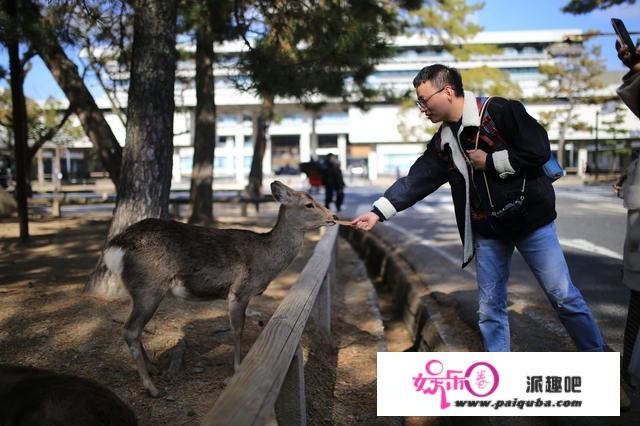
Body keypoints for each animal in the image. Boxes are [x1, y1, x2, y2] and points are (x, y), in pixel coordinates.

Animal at [102, 181, 338, 398]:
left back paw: (153, 368)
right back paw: (152, 388)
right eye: (309, 204)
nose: (334, 216)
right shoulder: (239, 290)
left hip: (138, 290)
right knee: (130, 329)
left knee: (132, 327)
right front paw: (236, 370)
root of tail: (115, 246)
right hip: (149, 286)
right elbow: (237, 329)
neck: (266, 260)